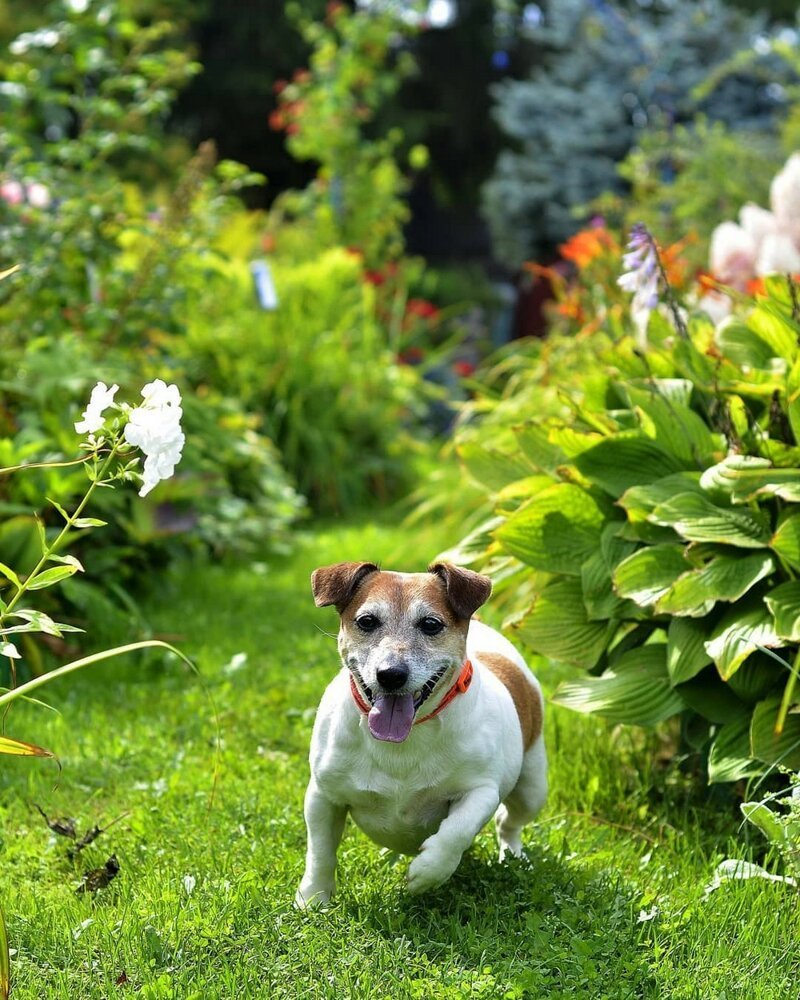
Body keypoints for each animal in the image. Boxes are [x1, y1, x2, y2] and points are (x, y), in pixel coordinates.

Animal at [296, 564, 552, 908]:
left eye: (431, 624)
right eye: (367, 621)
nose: (390, 674)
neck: (403, 741)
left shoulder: (481, 790)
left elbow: (457, 831)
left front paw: (429, 872)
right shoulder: (323, 796)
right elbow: (320, 852)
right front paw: (313, 899)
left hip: (532, 789)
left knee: (507, 823)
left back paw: (513, 857)